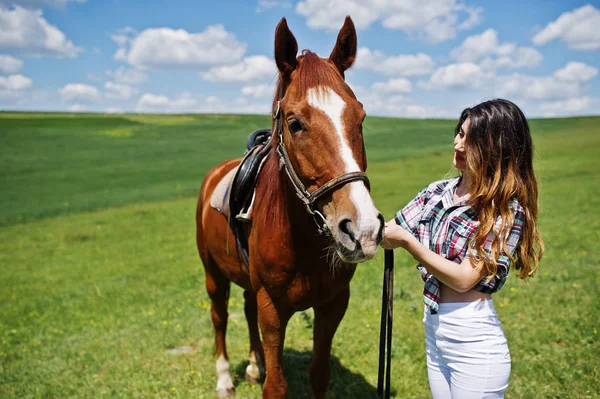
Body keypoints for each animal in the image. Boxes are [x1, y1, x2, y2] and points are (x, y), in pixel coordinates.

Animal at [197, 16, 384, 399]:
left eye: (360, 118)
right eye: (295, 123)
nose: (363, 229)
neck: (302, 240)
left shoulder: (333, 304)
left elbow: (319, 374)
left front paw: (261, 366)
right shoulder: (272, 307)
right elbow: (276, 385)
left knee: (245, 309)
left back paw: (254, 365)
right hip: (213, 274)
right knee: (219, 316)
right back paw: (224, 378)